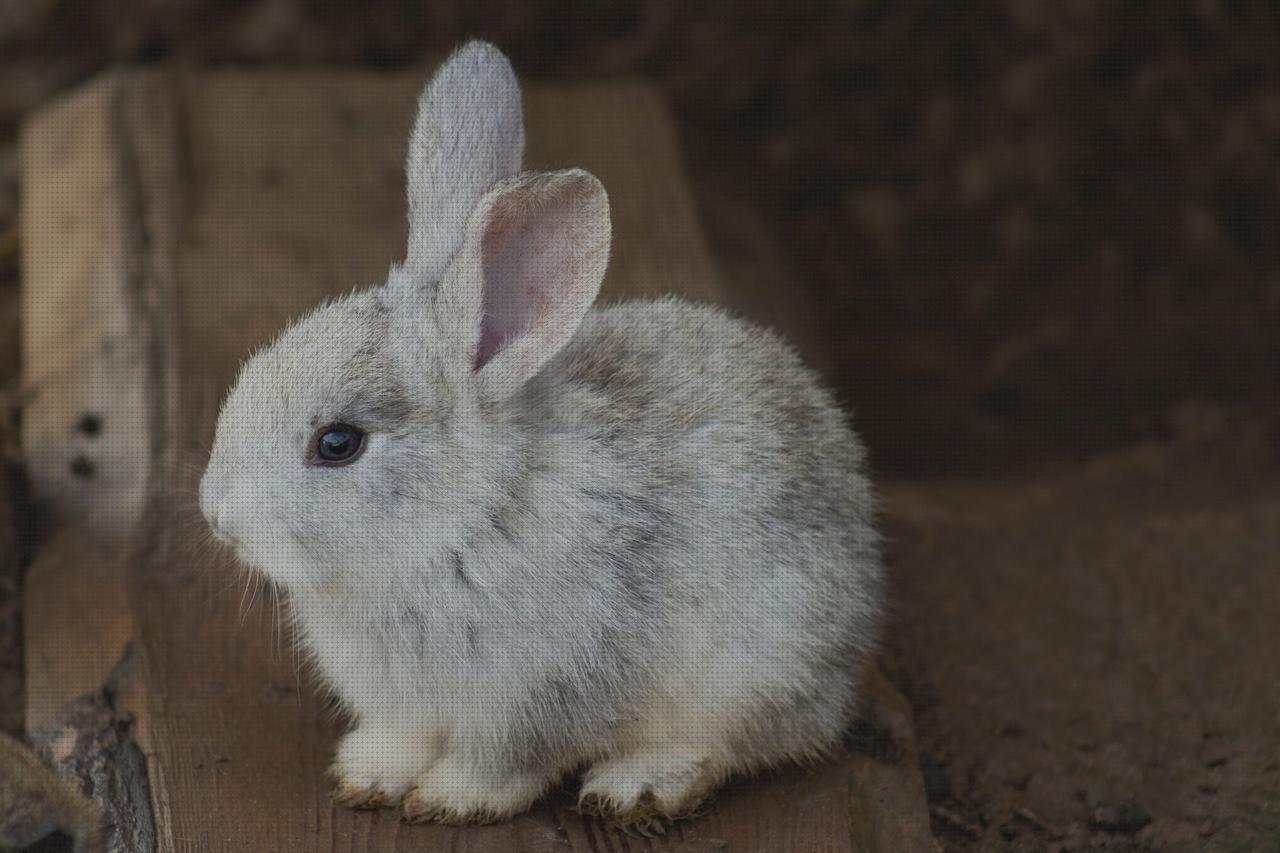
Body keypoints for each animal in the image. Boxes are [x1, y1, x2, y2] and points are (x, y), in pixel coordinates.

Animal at [199, 41, 885, 824]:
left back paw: (637, 783)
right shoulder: (406, 707)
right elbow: (399, 739)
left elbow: (505, 763)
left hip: (757, 667)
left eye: (338, 444)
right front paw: (365, 776)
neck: (463, 520)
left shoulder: (544, 695)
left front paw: (447, 800)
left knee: (731, 745)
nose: (216, 515)